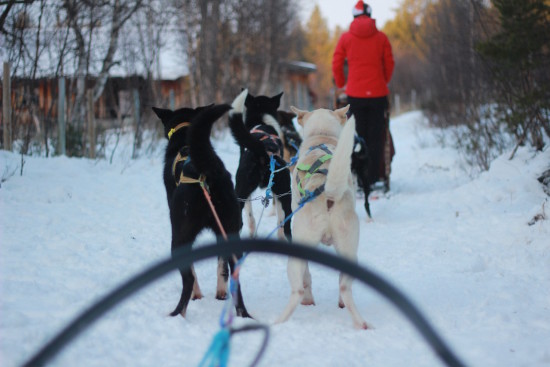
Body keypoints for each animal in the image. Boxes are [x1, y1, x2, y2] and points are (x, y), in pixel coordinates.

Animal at [153, 103, 252, 320]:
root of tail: (206, 171)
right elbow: (221, 266)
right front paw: (220, 292)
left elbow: (193, 271)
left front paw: (197, 295)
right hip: (231, 230)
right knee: (234, 274)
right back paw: (242, 313)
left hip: (179, 237)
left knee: (188, 279)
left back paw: (177, 314)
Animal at [227, 90, 294, 242]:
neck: (261, 120)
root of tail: (264, 150)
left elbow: (250, 217)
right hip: (285, 194)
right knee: (285, 226)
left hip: (242, 192)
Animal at [274, 105, 366, 330]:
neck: (321, 135)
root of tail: (327, 194)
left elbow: (307, 276)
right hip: (349, 251)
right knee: (344, 288)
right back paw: (360, 322)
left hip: (297, 252)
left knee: (298, 290)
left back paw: (279, 321)